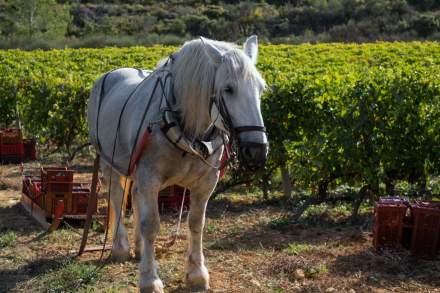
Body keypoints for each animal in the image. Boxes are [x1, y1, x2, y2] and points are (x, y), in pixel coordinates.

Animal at [87, 35, 268, 290]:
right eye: (228, 89)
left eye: (261, 89)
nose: (257, 151)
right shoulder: (150, 177)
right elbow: (151, 224)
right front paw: (150, 280)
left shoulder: (205, 183)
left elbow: (196, 223)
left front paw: (197, 273)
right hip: (108, 161)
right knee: (116, 196)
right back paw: (120, 248)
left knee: (135, 195)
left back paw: (139, 248)